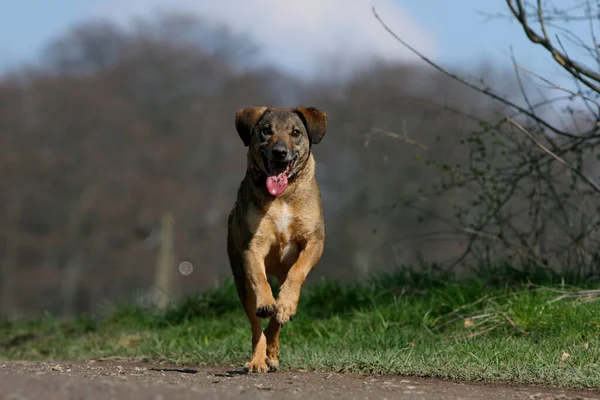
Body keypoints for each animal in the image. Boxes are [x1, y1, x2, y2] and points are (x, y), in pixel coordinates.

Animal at [226, 105, 328, 372]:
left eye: (295, 132)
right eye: (266, 130)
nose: (280, 152)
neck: (282, 196)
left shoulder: (314, 241)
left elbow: (298, 272)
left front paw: (285, 306)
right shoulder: (253, 246)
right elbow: (260, 281)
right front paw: (266, 303)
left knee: (275, 323)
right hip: (240, 279)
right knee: (256, 325)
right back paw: (258, 359)